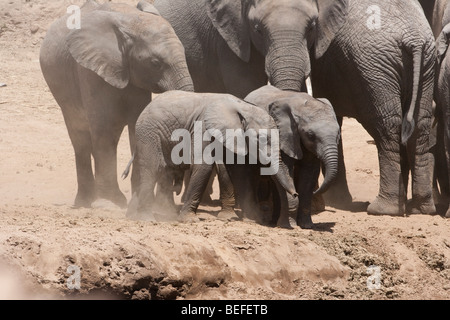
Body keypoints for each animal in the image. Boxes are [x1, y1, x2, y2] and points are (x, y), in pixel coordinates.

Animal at [39, 0, 192, 209]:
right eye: (155, 63)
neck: (129, 22)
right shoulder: (91, 71)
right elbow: (103, 129)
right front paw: (111, 203)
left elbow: (138, 124)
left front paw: (139, 201)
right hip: (62, 91)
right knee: (81, 138)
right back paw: (86, 202)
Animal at [244, 84, 340, 228]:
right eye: (310, 135)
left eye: (338, 133)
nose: (316, 191)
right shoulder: (282, 134)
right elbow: (285, 172)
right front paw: (290, 225)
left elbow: (308, 175)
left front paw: (307, 225)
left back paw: (274, 221)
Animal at [310, 0, 436, 215]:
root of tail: (415, 40)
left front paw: (336, 199)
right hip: (423, 66)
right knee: (419, 126)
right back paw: (420, 208)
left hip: (373, 69)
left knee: (387, 127)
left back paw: (383, 209)